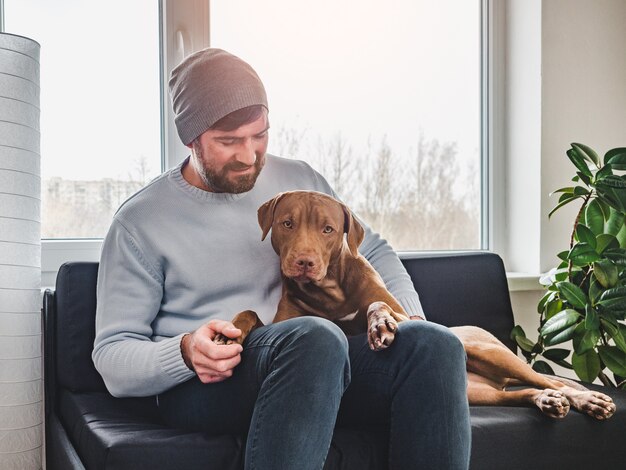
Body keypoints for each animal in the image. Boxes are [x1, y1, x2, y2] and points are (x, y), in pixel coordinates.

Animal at [218, 189, 616, 420]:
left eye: (328, 230)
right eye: (287, 224)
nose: (304, 261)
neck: (329, 290)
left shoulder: (395, 309)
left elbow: (377, 306)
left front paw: (379, 326)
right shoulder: (281, 323)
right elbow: (250, 313)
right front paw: (228, 334)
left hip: (486, 351)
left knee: (548, 379)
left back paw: (587, 400)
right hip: (476, 392)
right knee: (529, 391)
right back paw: (547, 401)